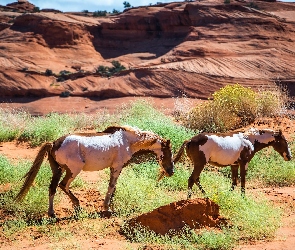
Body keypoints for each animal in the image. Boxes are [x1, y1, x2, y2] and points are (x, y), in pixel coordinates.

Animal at [15, 125, 176, 217]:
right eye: (168, 152)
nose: (171, 171)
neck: (127, 142)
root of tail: (54, 143)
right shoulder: (117, 167)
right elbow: (111, 187)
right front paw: (107, 209)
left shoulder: (114, 168)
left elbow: (113, 188)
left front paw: (109, 206)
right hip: (73, 171)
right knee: (63, 185)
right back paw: (77, 206)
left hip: (58, 170)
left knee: (53, 188)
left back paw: (52, 213)